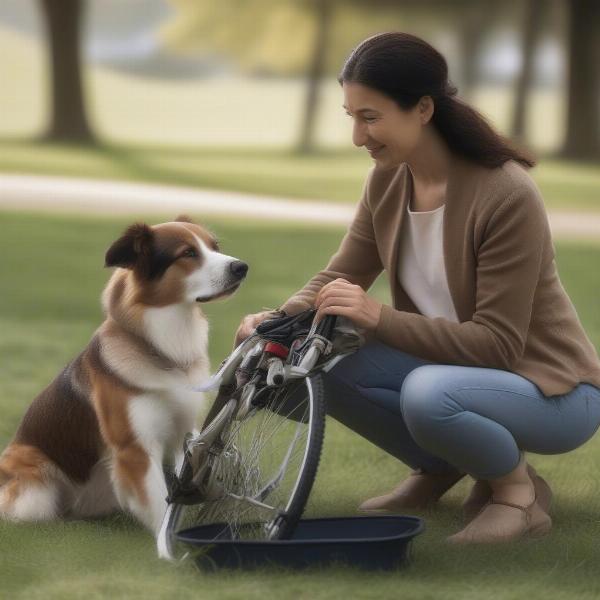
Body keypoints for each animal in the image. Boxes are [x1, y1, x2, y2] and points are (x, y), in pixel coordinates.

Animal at [0, 216, 248, 540]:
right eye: (188, 253)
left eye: (214, 247)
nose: (242, 267)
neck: (163, 352)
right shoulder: (135, 448)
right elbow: (159, 503)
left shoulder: (187, 434)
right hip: (35, 488)